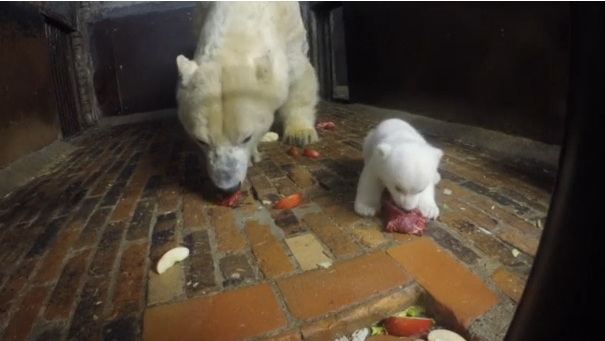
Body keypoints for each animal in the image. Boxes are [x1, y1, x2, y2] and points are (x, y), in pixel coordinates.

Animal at [175, 1, 318, 194]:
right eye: (201, 141)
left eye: (246, 138)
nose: (228, 187)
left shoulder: (290, 28)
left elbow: (299, 75)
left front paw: (301, 134)